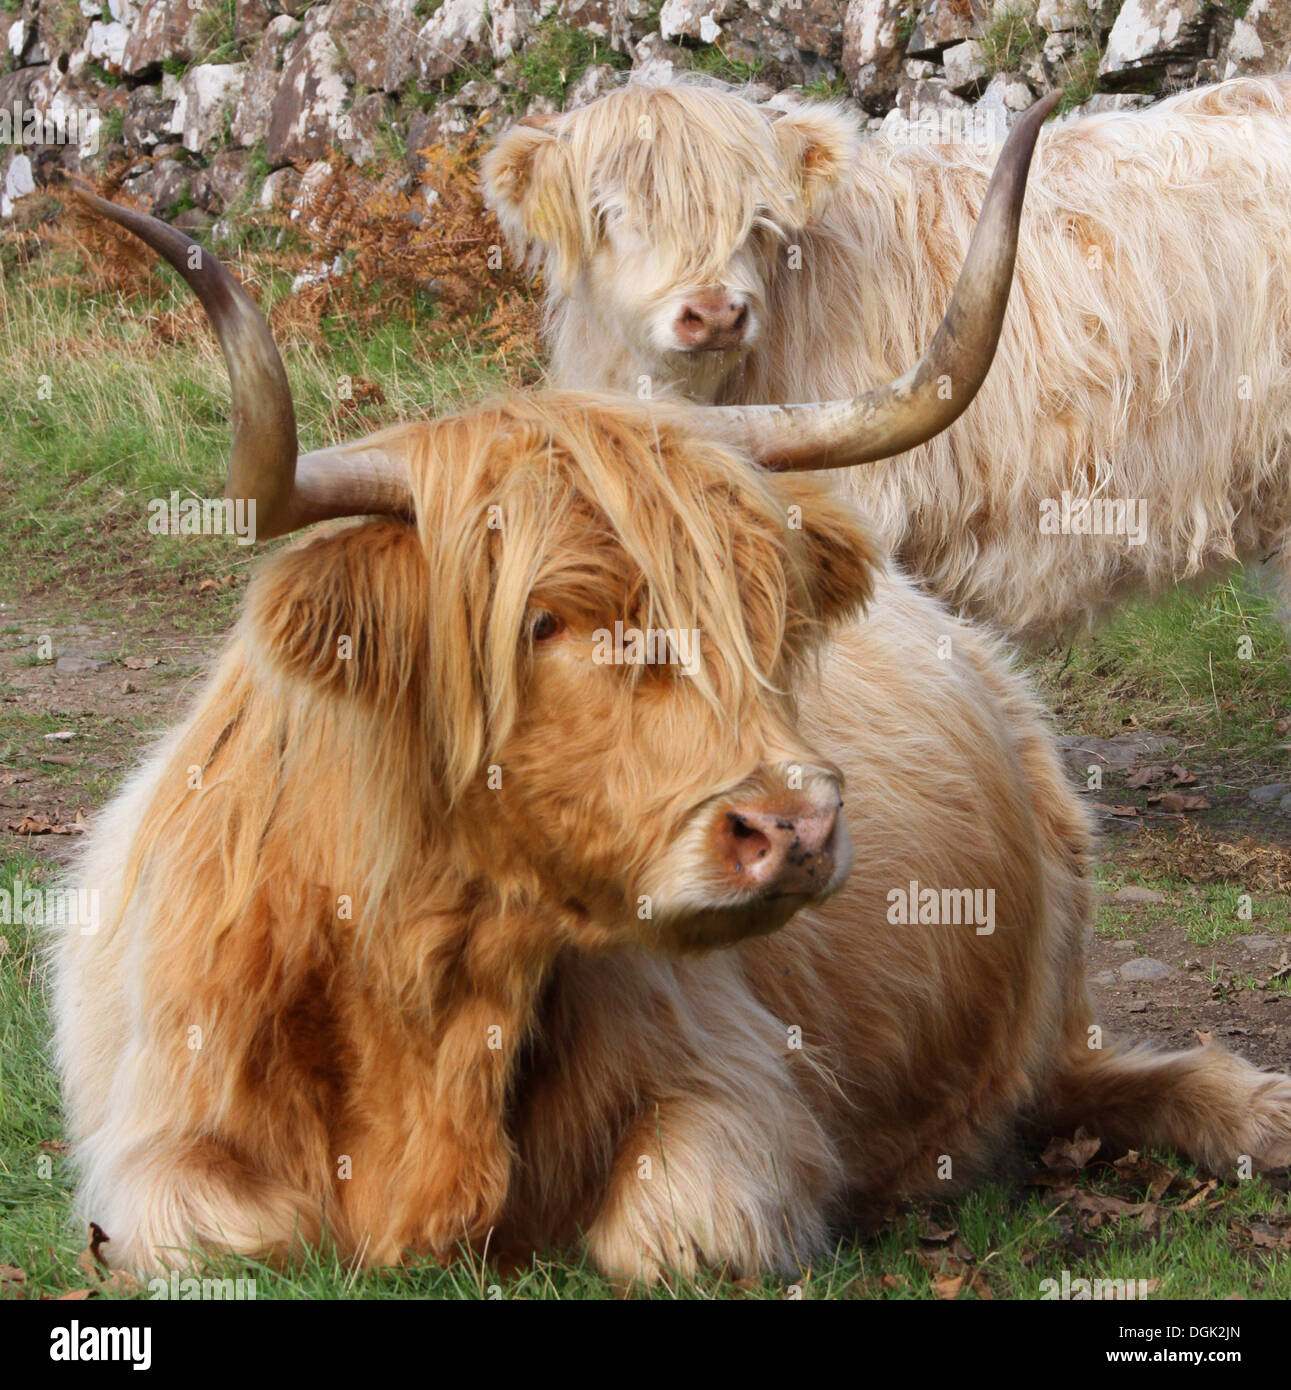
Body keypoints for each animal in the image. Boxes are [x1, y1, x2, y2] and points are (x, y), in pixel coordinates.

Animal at [53, 169, 1291, 1282]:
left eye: (760, 607)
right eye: (540, 620)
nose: (793, 827)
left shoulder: (735, 1097)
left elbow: (669, 1233)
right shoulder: (152, 1147)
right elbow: (226, 1237)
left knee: (1087, 1073)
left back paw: (1255, 1117)